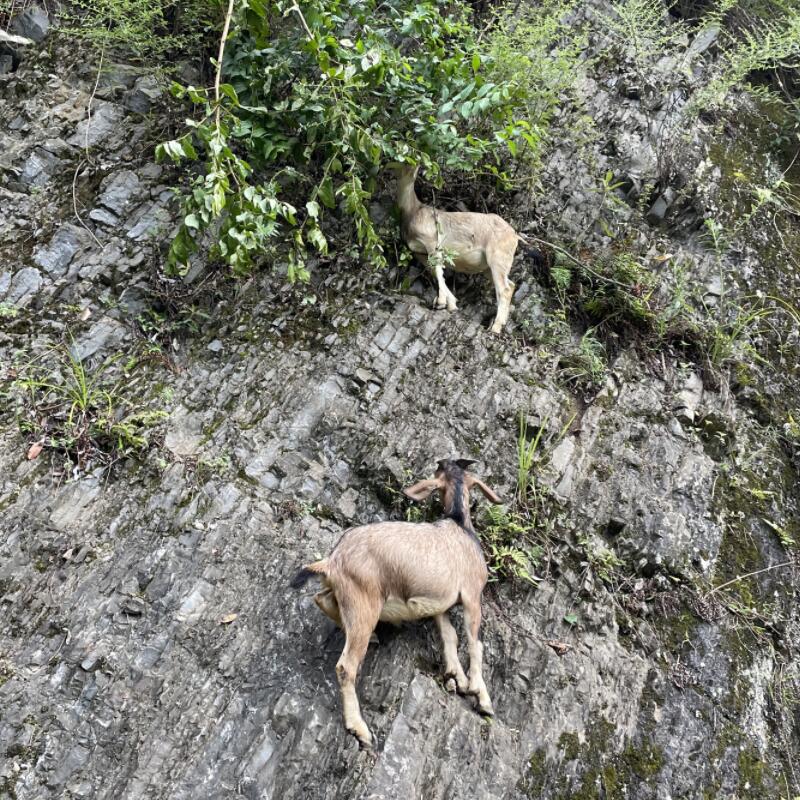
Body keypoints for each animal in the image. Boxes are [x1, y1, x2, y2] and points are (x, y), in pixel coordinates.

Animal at [290, 460, 504, 748]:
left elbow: (449, 636)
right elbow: (474, 643)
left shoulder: (440, 604)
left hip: (346, 593)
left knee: (321, 598)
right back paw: (359, 729)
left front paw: (457, 677)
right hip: (365, 601)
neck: (459, 524)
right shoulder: (472, 595)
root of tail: (332, 560)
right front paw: (481, 697)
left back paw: (371, 637)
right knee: (346, 666)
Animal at [396, 166, 520, 334]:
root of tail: (514, 236)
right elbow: (436, 273)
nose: (409, 174)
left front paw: (441, 302)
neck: (412, 211)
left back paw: (495, 327)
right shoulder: (421, 254)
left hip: (497, 261)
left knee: (504, 289)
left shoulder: (432, 244)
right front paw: (452, 305)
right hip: (489, 268)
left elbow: (438, 271)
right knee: (511, 286)